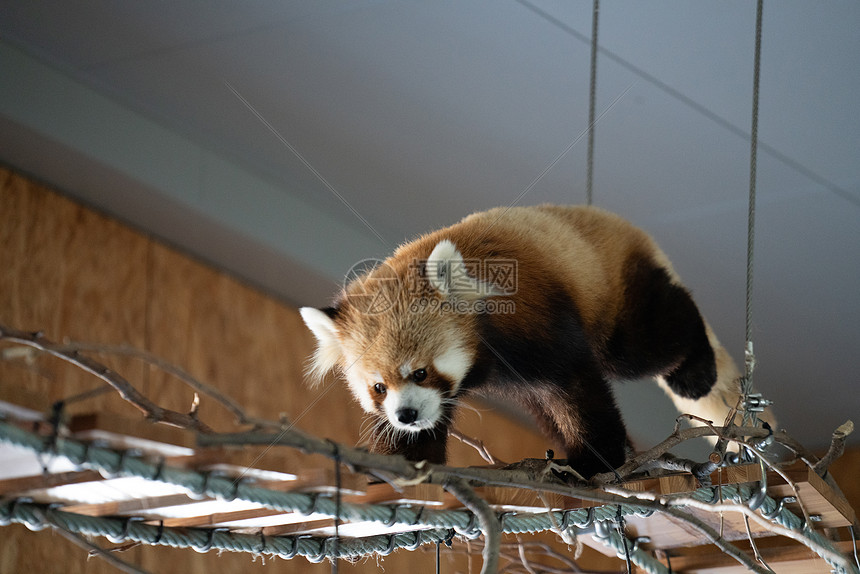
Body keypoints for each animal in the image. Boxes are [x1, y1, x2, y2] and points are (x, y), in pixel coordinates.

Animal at [304, 206, 760, 476]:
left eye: (420, 372)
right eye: (379, 387)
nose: (407, 415)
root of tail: (620, 226)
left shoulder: (539, 327)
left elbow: (576, 388)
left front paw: (594, 462)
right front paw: (402, 467)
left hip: (613, 300)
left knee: (648, 338)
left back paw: (695, 372)